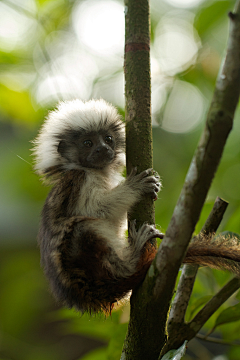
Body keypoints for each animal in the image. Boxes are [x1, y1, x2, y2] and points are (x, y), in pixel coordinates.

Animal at [32, 100, 240, 314]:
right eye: (88, 143)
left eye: (108, 139)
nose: (103, 149)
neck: (96, 172)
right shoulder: (81, 180)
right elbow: (94, 209)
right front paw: (135, 187)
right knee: (82, 226)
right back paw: (132, 261)